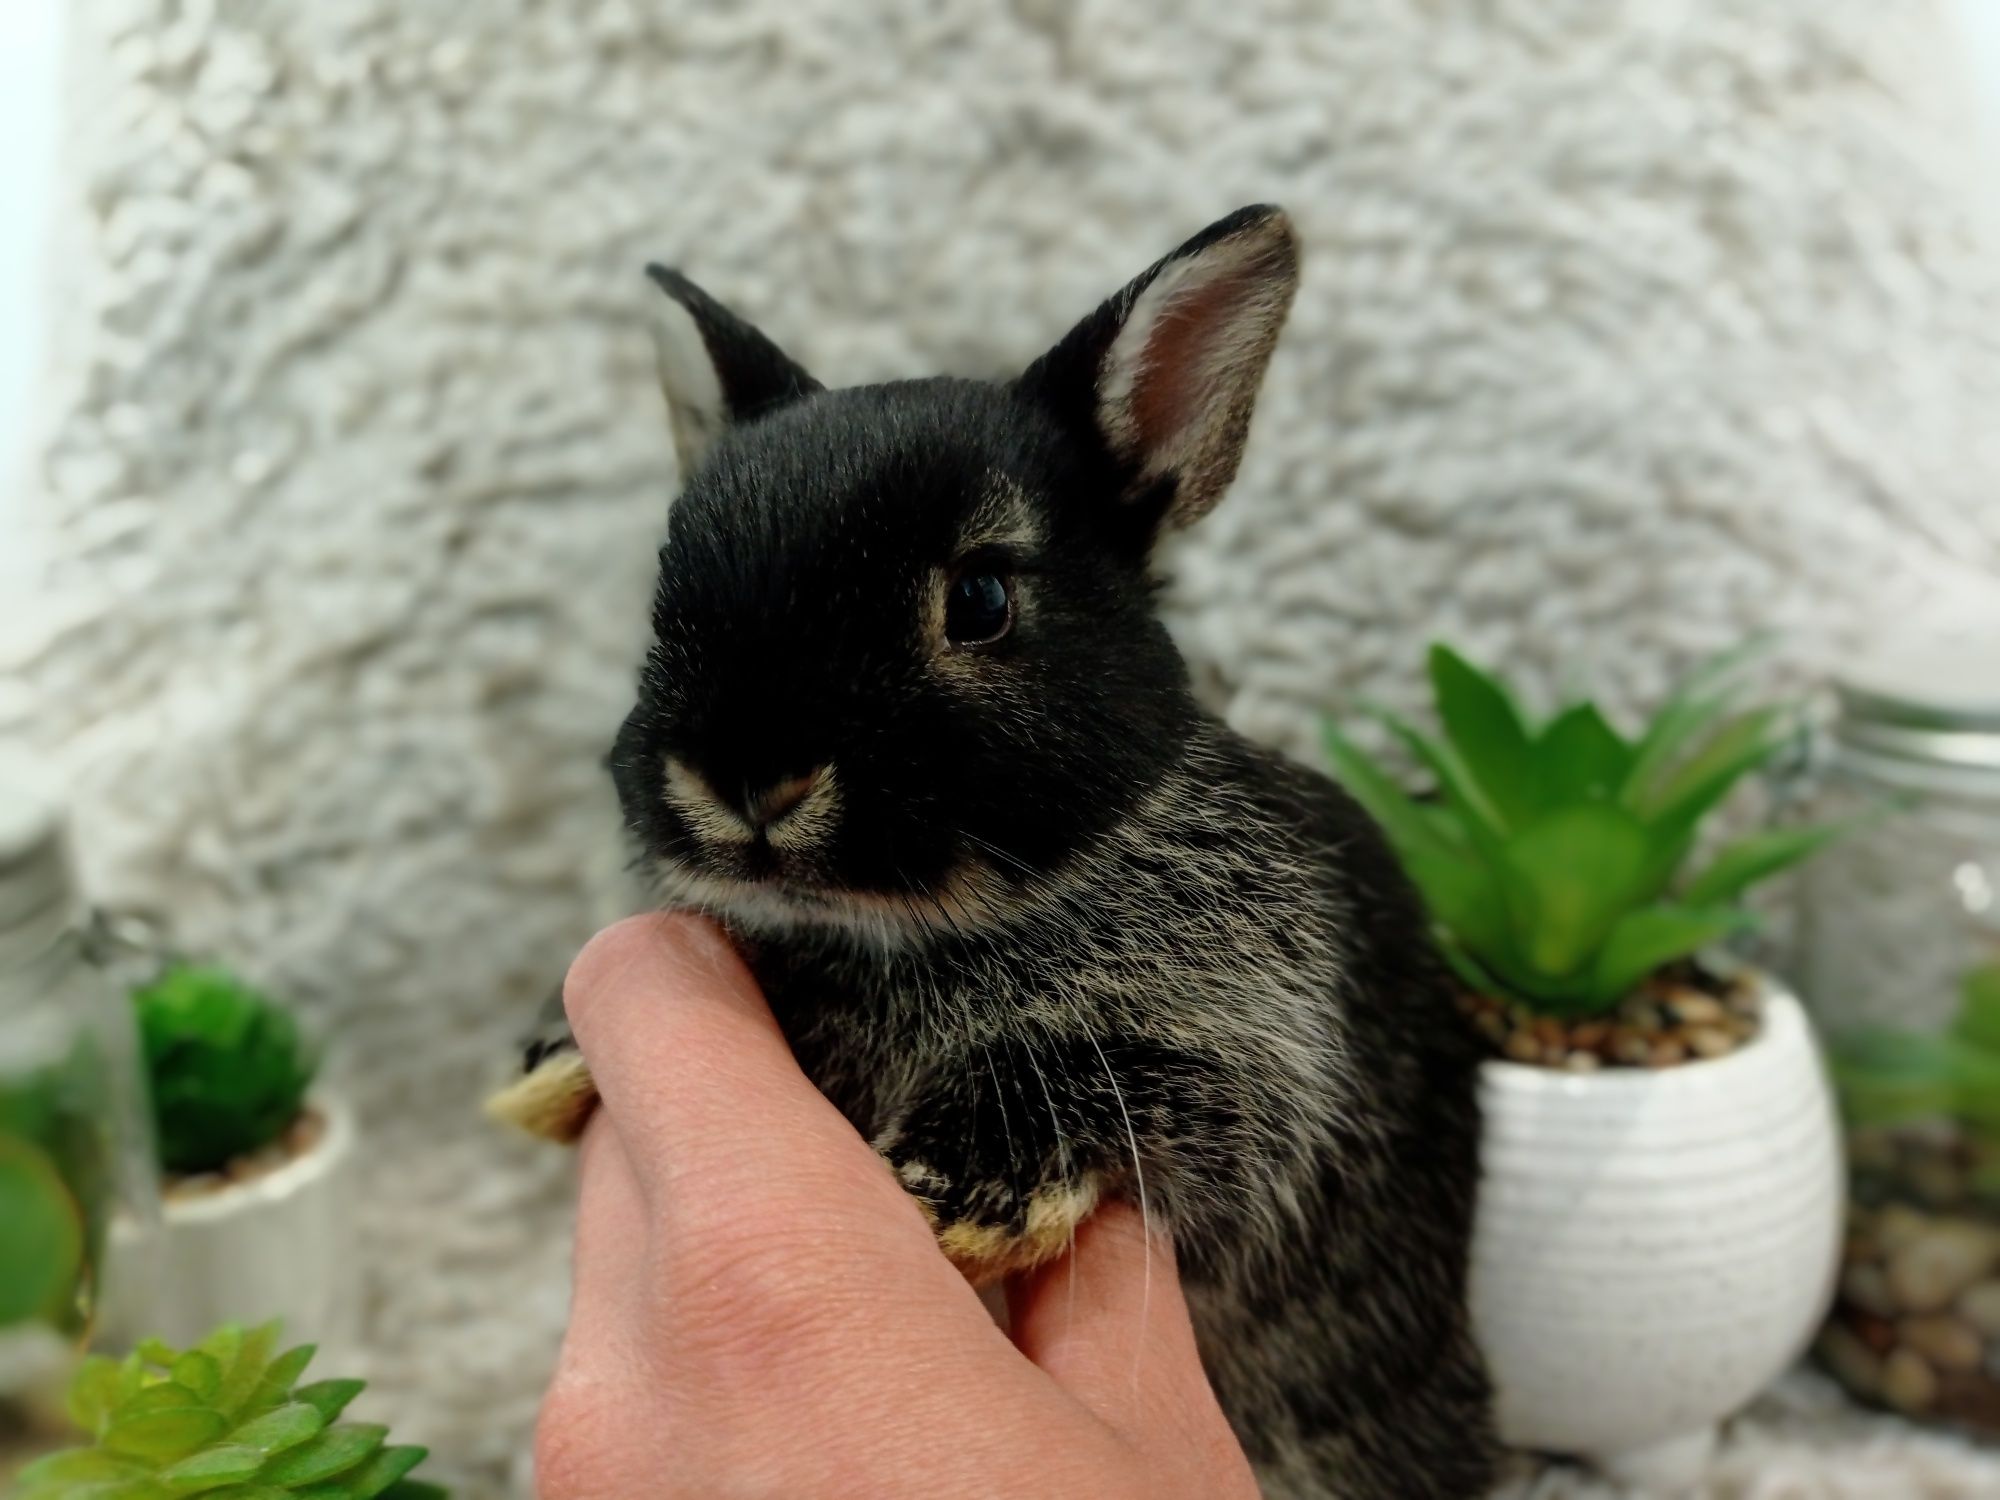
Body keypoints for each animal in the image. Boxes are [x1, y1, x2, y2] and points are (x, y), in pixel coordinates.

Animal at [492, 203, 1504, 1500]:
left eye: (978, 599)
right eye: (664, 598)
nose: (745, 777)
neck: (897, 935)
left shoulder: (1254, 1045)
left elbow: (1133, 1068)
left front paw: (958, 1196)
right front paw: (551, 1056)